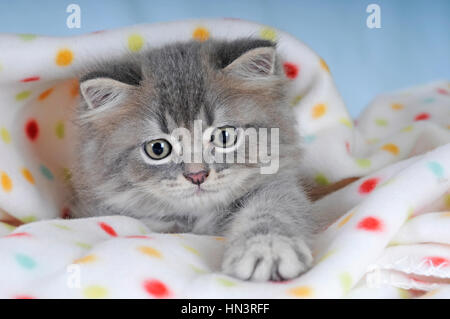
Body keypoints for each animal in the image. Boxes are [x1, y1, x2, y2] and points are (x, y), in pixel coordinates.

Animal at [71, 38, 316, 282]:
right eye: (158, 149)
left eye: (224, 136)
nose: (197, 175)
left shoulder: (277, 184)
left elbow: (273, 210)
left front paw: (267, 248)